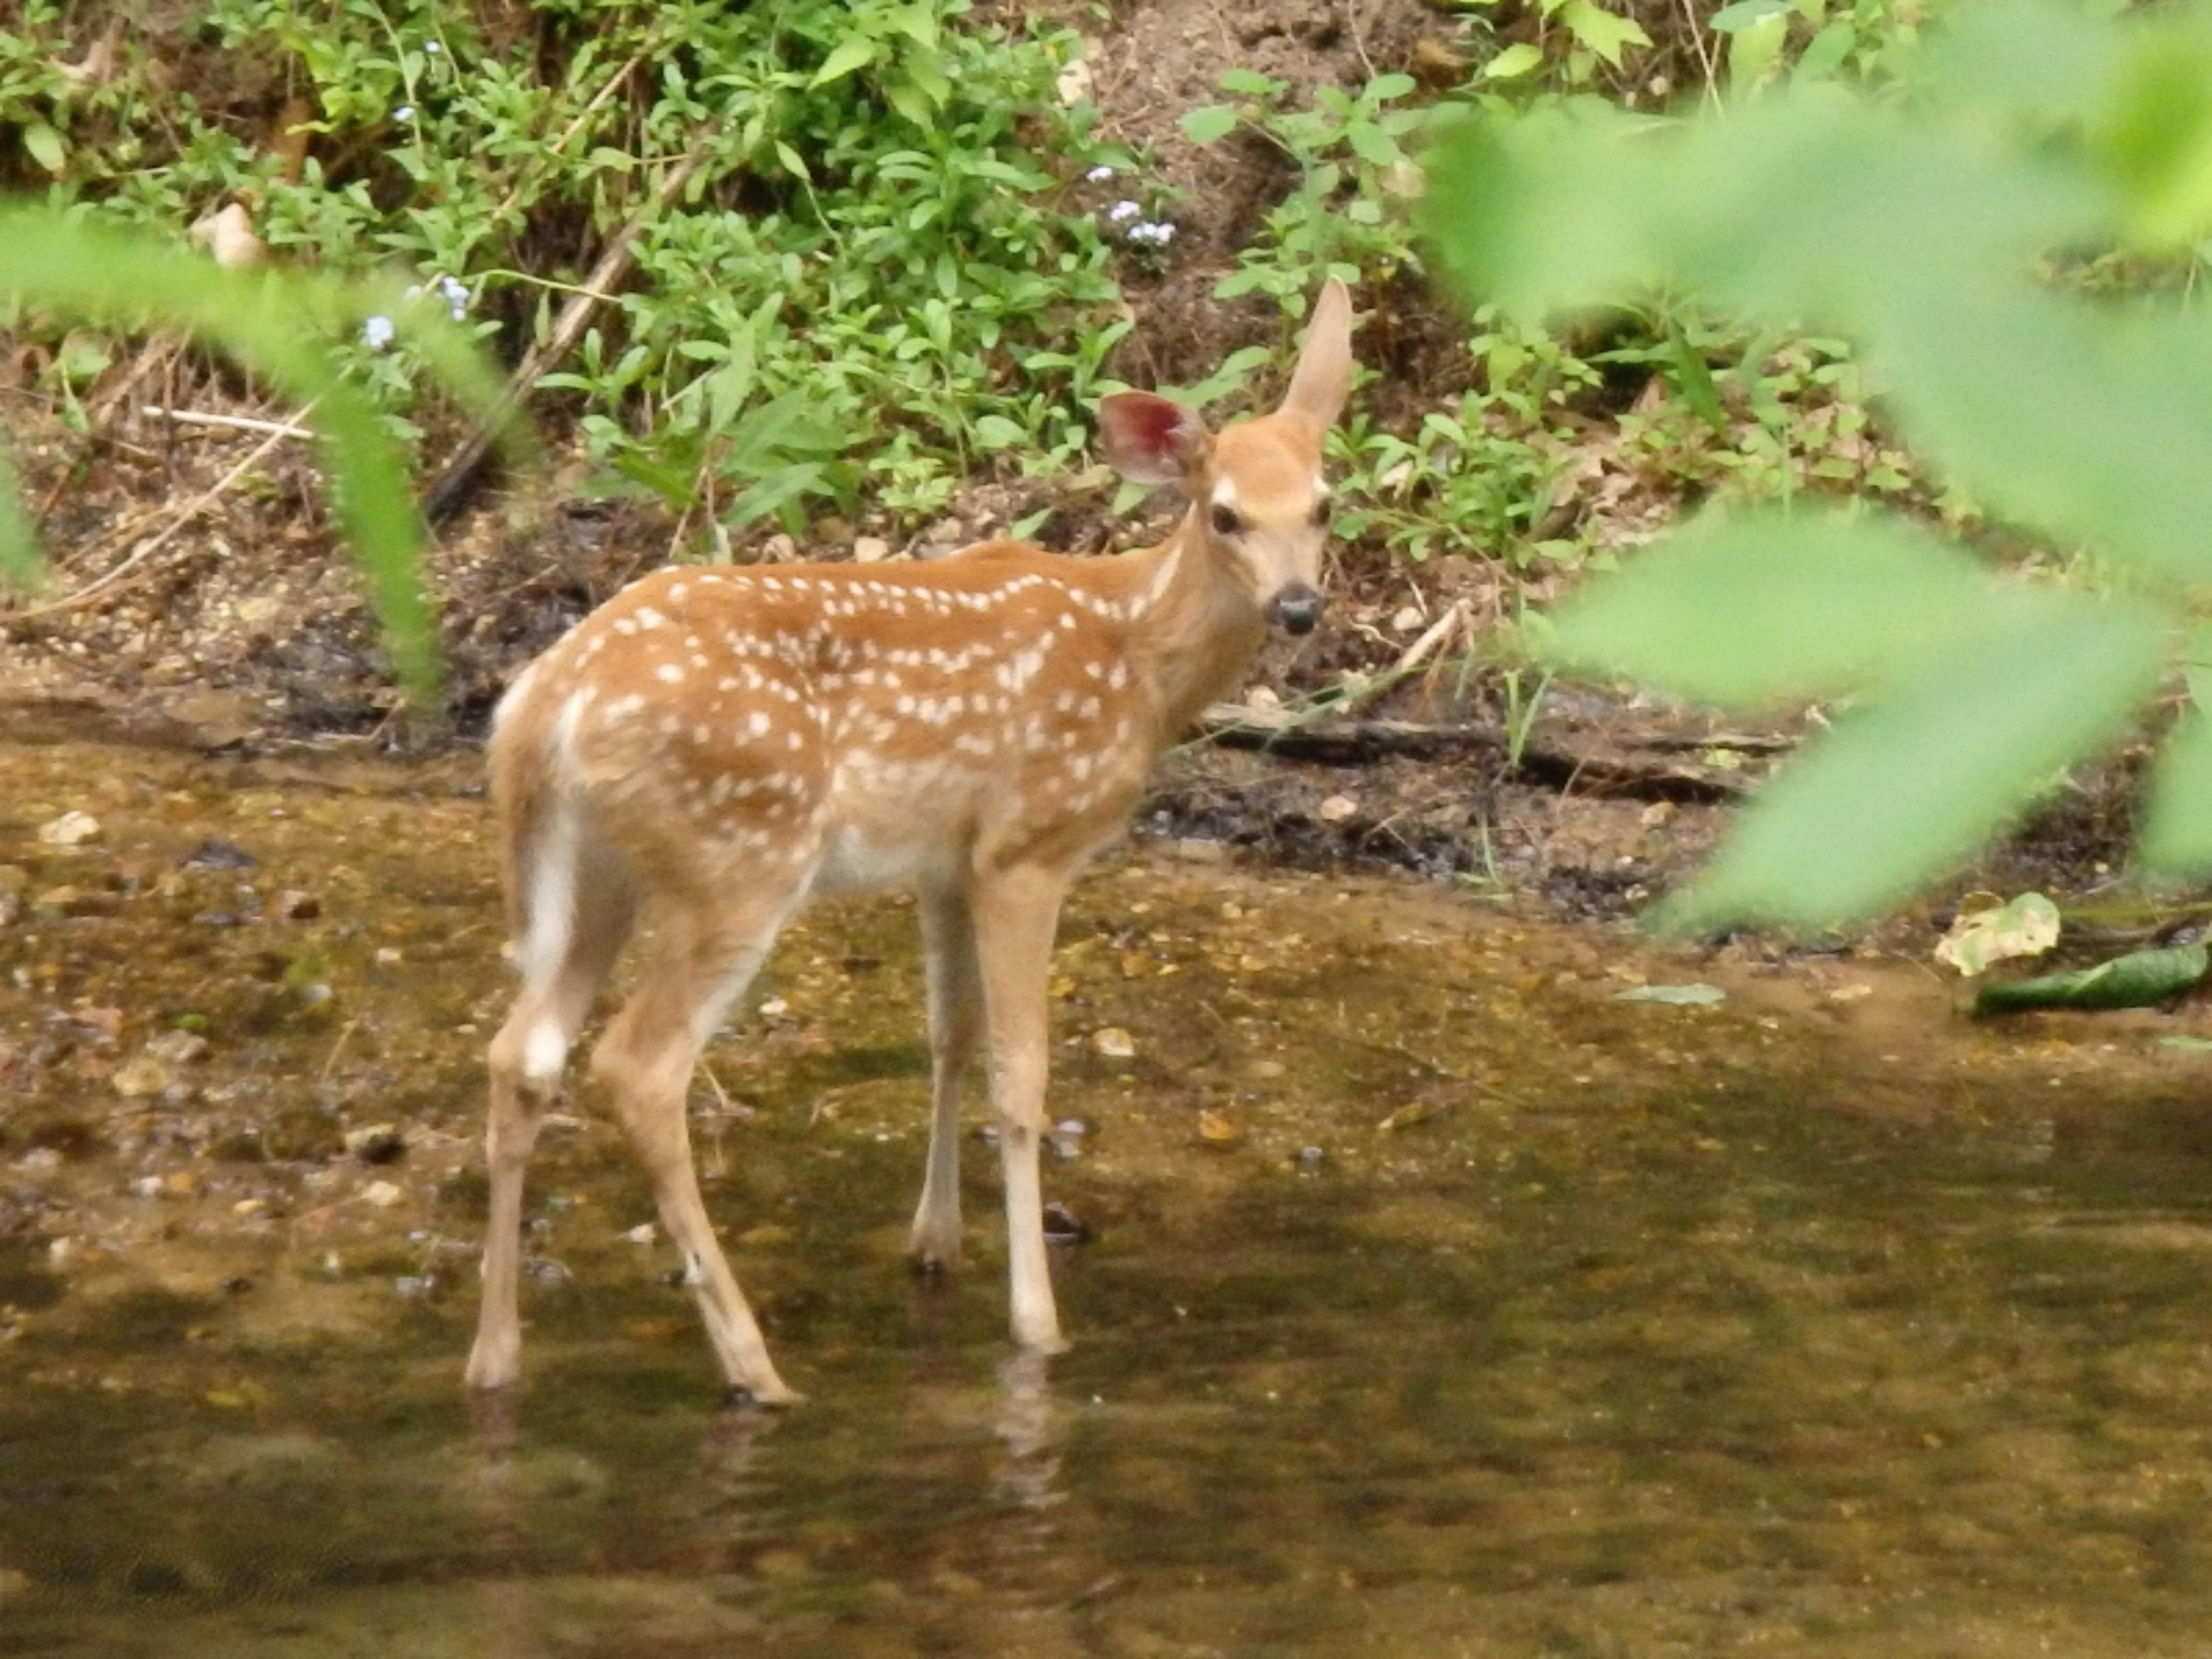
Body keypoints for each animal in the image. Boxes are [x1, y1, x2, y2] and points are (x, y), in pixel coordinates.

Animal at [466, 277, 1356, 1403]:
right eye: (1225, 511)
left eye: (1323, 504)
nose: (1298, 606)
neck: (1137, 658)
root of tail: (543, 705)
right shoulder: (1028, 843)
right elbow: (1023, 1079)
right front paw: (1035, 1325)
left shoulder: (946, 859)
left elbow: (950, 1035)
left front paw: (934, 1242)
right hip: (739, 856)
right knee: (638, 1068)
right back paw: (755, 1366)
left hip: (600, 871)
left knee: (522, 1051)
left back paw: (495, 1357)